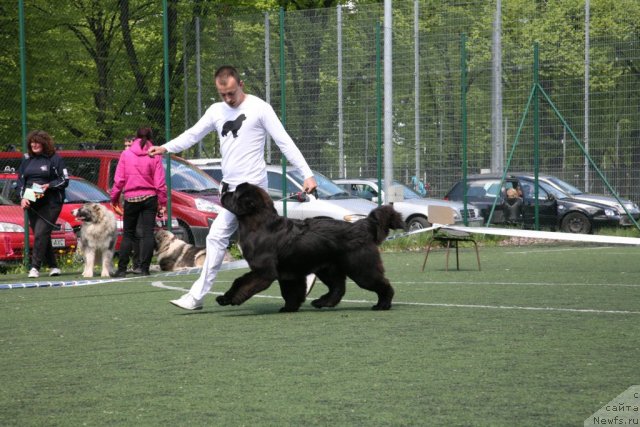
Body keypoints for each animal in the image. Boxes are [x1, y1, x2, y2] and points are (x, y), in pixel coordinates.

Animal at [215, 182, 404, 312]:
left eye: (235, 193)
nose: (224, 190)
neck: (259, 224)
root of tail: (363, 225)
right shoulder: (289, 273)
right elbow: (291, 292)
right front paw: (289, 308)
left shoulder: (263, 271)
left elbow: (240, 282)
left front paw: (227, 298)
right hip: (328, 268)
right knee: (338, 288)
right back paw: (323, 302)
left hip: (361, 268)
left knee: (382, 284)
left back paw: (382, 304)